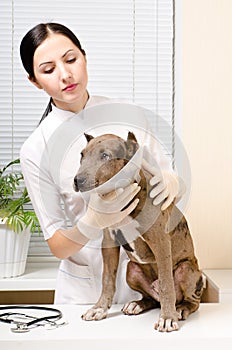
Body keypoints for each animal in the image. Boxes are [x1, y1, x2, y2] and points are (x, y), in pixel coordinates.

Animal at [74, 131, 203, 330]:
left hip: (186, 269)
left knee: (191, 300)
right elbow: (107, 279)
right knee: (151, 298)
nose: (77, 181)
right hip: (131, 269)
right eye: (82, 155)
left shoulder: (160, 241)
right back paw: (138, 304)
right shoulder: (109, 243)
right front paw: (99, 308)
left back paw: (181, 309)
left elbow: (166, 283)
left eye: (105, 156)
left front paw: (167, 318)